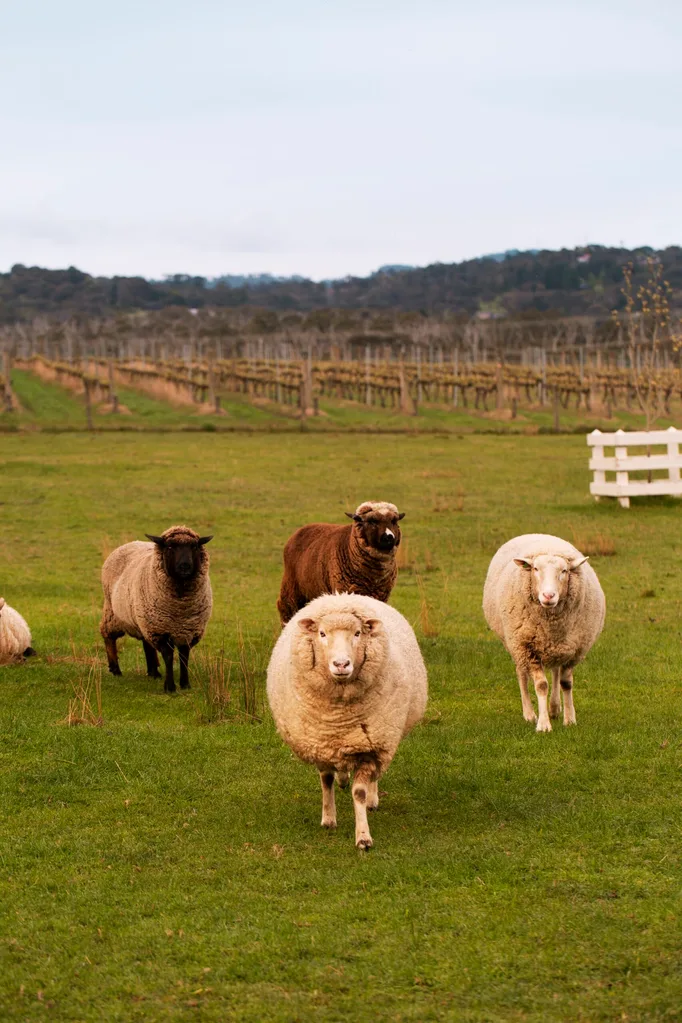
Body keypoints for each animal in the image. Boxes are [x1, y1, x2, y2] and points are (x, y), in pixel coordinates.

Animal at [99, 525, 213, 692]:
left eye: (194, 547)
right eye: (170, 547)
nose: (185, 566)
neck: (180, 608)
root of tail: (130, 543)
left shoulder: (189, 630)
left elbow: (184, 656)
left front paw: (185, 684)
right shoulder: (160, 630)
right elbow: (168, 656)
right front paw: (170, 687)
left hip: (143, 619)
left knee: (147, 644)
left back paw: (153, 672)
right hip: (113, 613)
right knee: (108, 637)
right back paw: (116, 670)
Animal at [267, 592, 427, 849]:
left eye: (358, 633)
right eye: (322, 633)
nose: (341, 664)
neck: (338, 719)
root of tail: (344, 595)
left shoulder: (370, 747)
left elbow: (359, 792)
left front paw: (363, 836)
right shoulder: (320, 743)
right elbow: (326, 781)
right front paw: (328, 819)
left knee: (373, 776)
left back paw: (372, 799)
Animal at [276, 501, 405, 625]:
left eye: (394, 521)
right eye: (372, 521)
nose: (389, 537)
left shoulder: (381, 596)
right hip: (291, 589)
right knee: (286, 608)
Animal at [483, 533, 605, 732]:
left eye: (564, 571)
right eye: (535, 568)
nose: (549, 596)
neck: (551, 623)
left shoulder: (574, 650)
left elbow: (566, 683)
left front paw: (569, 719)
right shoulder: (528, 648)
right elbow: (540, 685)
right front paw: (543, 724)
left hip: (556, 647)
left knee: (555, 672)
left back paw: (554, 708)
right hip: (515, 644)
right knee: (522, 674)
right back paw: (529, 713)